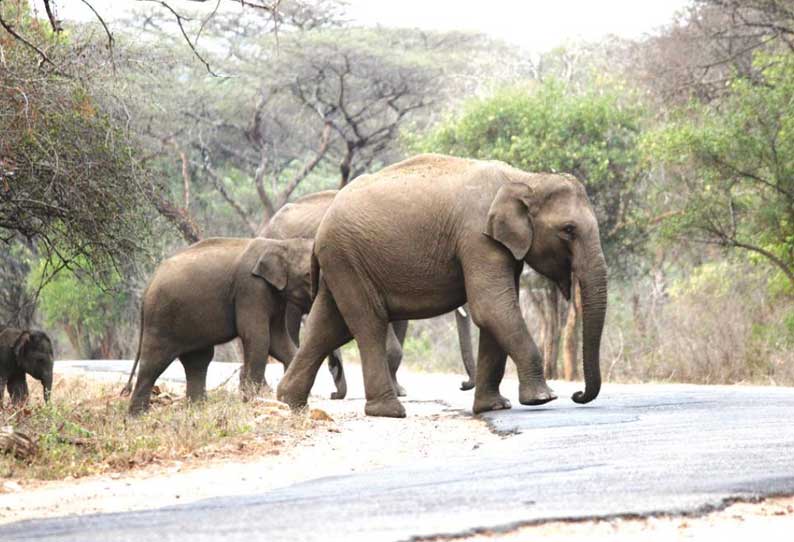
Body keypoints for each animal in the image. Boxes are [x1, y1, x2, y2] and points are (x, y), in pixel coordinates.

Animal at [122, 238, 310, 416]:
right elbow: (258, 337)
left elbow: (278, 340)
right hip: (161, 319)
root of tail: (148, 286)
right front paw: (253, 401)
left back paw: (197, 408)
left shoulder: (276, 297)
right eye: (308, 275)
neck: (280, 244)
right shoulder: (250, 289)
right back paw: (137, 416)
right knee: (154, 362)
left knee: (198, 360)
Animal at [278, 155, 608, 418]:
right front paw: (542, 399)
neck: (525, 178)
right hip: (347, 257)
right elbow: (491, 307)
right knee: (368, 322)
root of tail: (322, 227)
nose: (578, 395)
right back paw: (389, 412)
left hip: (341, 262)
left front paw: (494, 407)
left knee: (328, 325)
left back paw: (289, 402)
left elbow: (495, 311)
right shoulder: (476, 236)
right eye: (568, 230)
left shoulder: (499, 244)